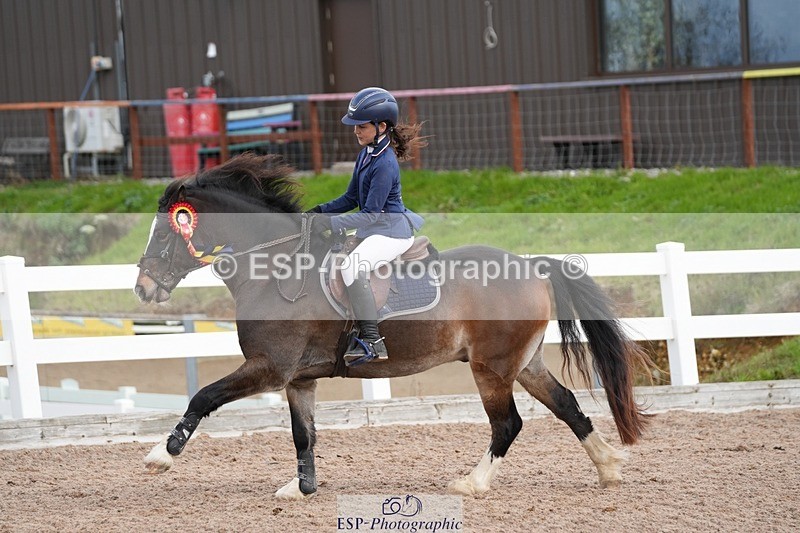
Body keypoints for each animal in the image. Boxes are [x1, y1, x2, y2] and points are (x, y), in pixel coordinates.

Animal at [135, 153, 651, 500]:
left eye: (164, 234)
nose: (143, 287)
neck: (275, 267)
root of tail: (532, 265)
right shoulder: (298, 378)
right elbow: (304, 434)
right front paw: (302, 488)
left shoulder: (269, 367)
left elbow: (204, 397)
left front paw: (162, 455)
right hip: (523, 363)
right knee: (566, 405)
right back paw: (609, 467)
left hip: (491, 368)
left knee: (508, 423)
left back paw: (472, 484)